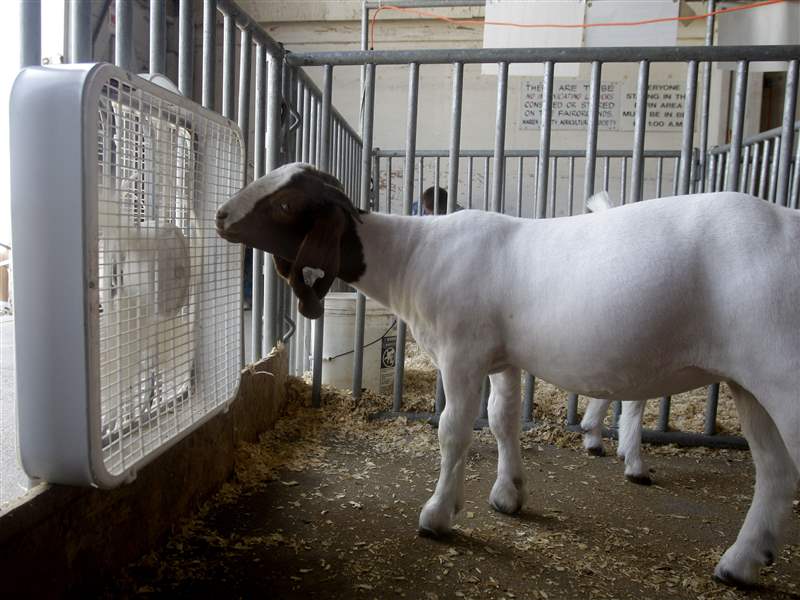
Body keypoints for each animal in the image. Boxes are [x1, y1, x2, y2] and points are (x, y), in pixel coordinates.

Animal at [216, 162, 800, 587]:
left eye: (287, 203)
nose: (221, 215)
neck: (410, 258)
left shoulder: (462, 353)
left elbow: (453, 432)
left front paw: (438, 515)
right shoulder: (501, 359)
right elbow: (501, 421)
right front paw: (508, 496)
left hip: (782, 371)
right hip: (751, 384)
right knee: (774, 470)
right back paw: (740, 563)